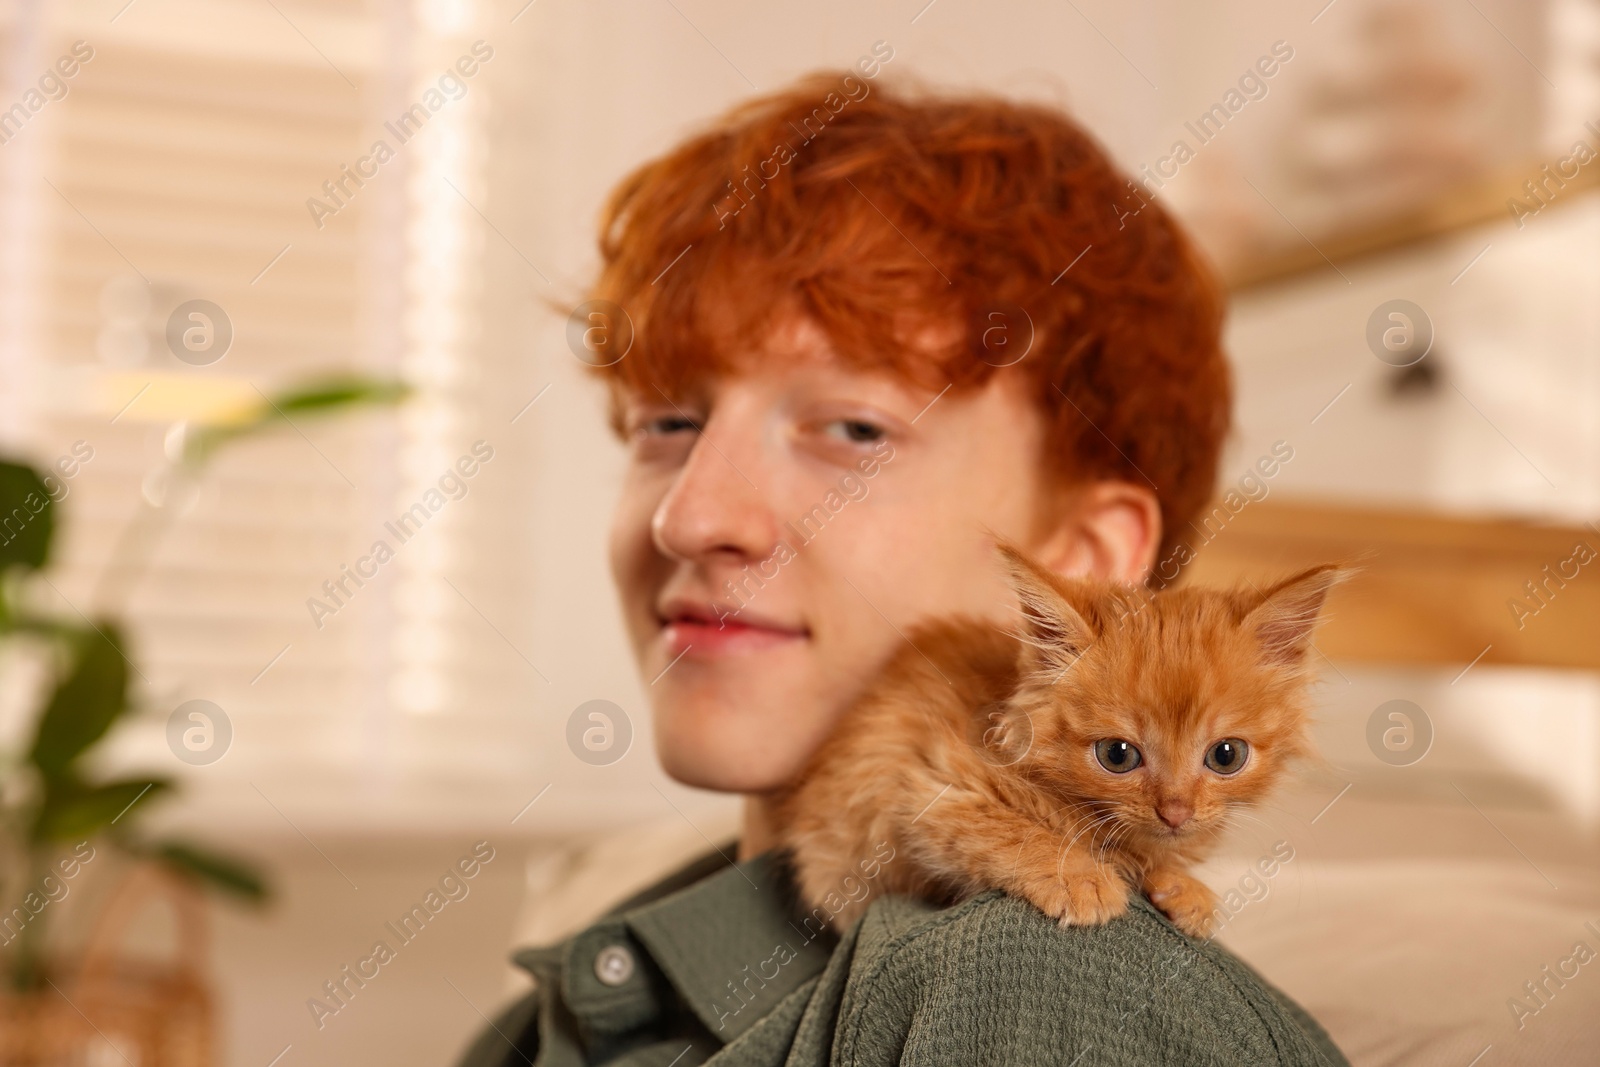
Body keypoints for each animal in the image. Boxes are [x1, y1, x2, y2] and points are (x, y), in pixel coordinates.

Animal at [768, 547, 1344, 940]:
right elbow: (1010, 830)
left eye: (1227, 755)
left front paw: (1181, 885)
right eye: (1117, 755)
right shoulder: (932, 786)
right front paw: (1081, 878)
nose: (1176, 810)